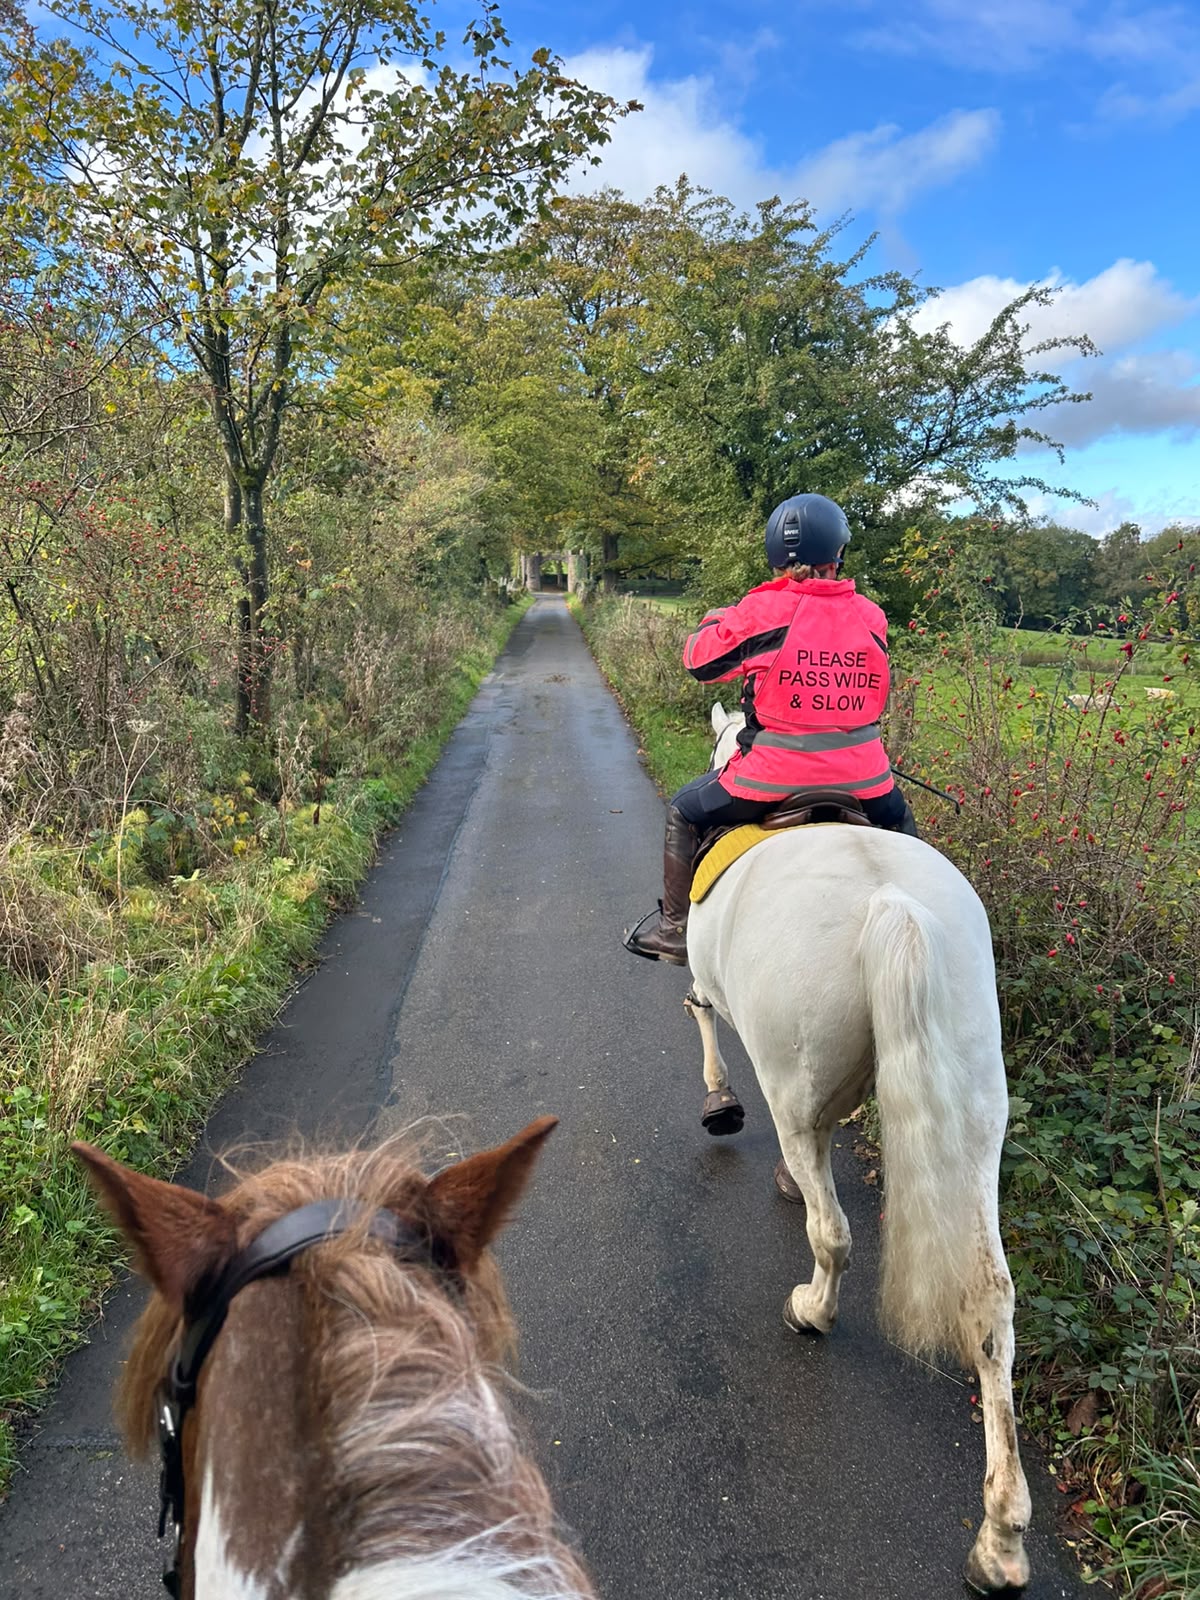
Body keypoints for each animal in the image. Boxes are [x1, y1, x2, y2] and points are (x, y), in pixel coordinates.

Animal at [682, 703, 1032, 1593]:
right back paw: (1000, 1540)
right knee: (990, 1298)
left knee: (832, 1232)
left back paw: (811, 1309)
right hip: (974, 1107)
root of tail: (890, 903)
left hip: (793, 1079)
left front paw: (719, 1105)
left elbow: (701, 1017)